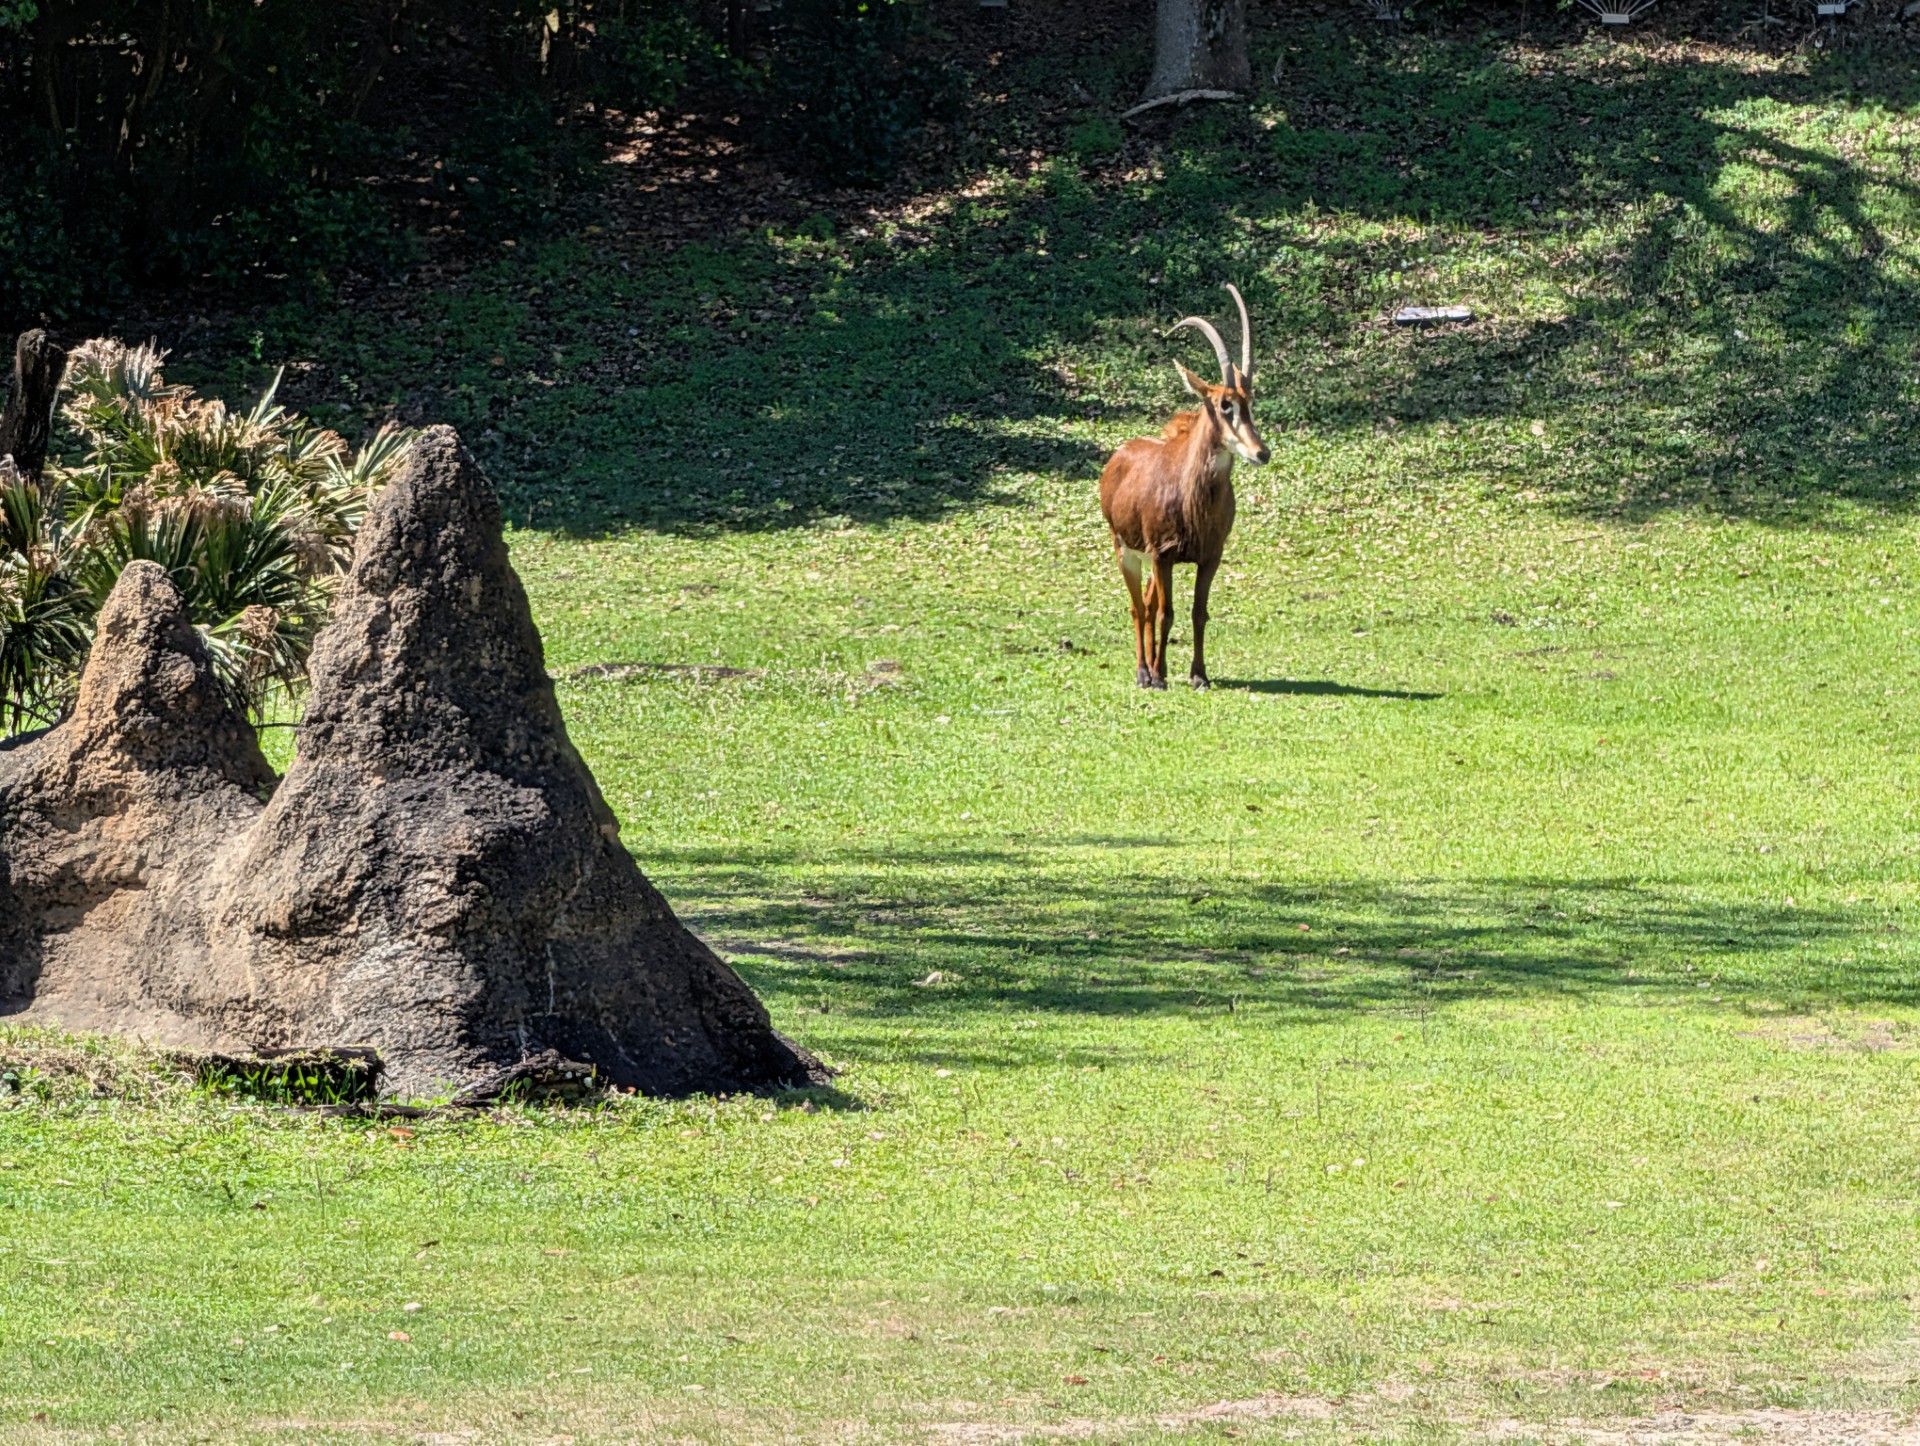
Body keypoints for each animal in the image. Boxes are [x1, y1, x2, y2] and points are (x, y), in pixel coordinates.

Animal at [1099, 284, 1269, 690]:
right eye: (1224, 404)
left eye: (1249, 402)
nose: (1262, 452)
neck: (1195, 501)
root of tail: (1117, 458)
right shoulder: (1164, 555)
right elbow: (1166, 613)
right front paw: (1160, 675)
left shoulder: (1209, 556)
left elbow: (1197, 612)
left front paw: (1199, 675)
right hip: (1126, 550)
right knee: (1139, 607)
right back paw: (1144, 673)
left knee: (1147, 605)